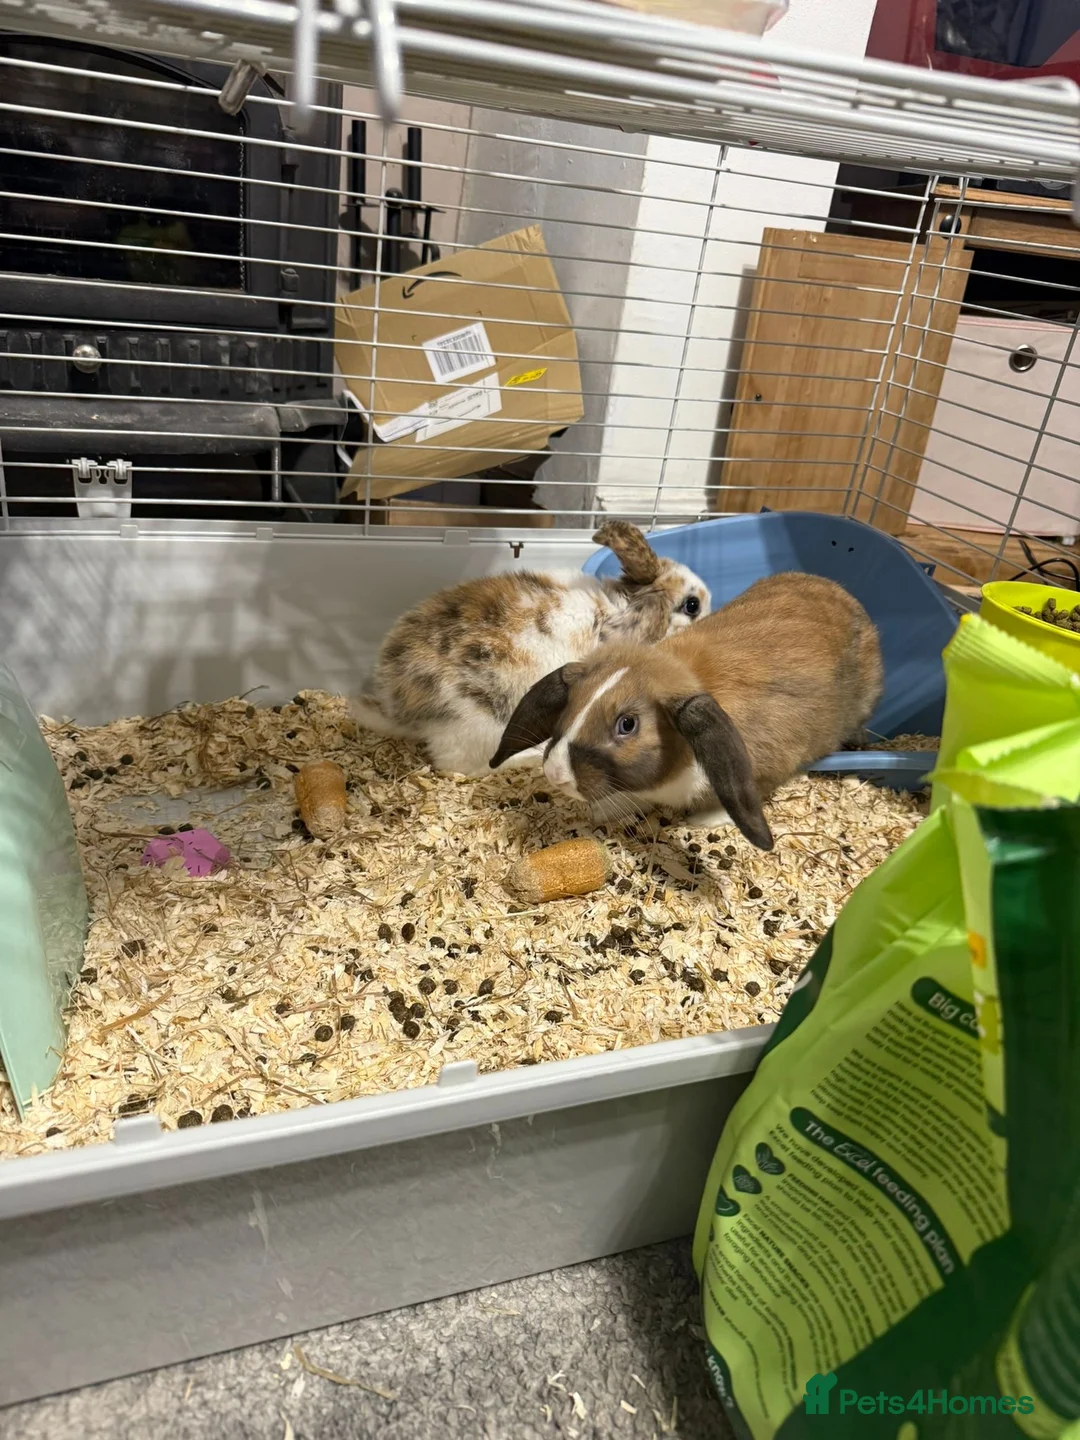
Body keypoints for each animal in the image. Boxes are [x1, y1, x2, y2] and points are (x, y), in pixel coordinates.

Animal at [351, 521, 711, 777]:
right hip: (478, 722)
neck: (621, 610)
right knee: (468, 765)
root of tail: (397, 706)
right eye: (692, 605)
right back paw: (530, 758)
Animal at [489, 571, 883, 850]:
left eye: (627, 724)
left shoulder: (769, 766)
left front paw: (706, 820)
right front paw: (607, 808)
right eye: (571, 704)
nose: (556, 775)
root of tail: (846, 595)